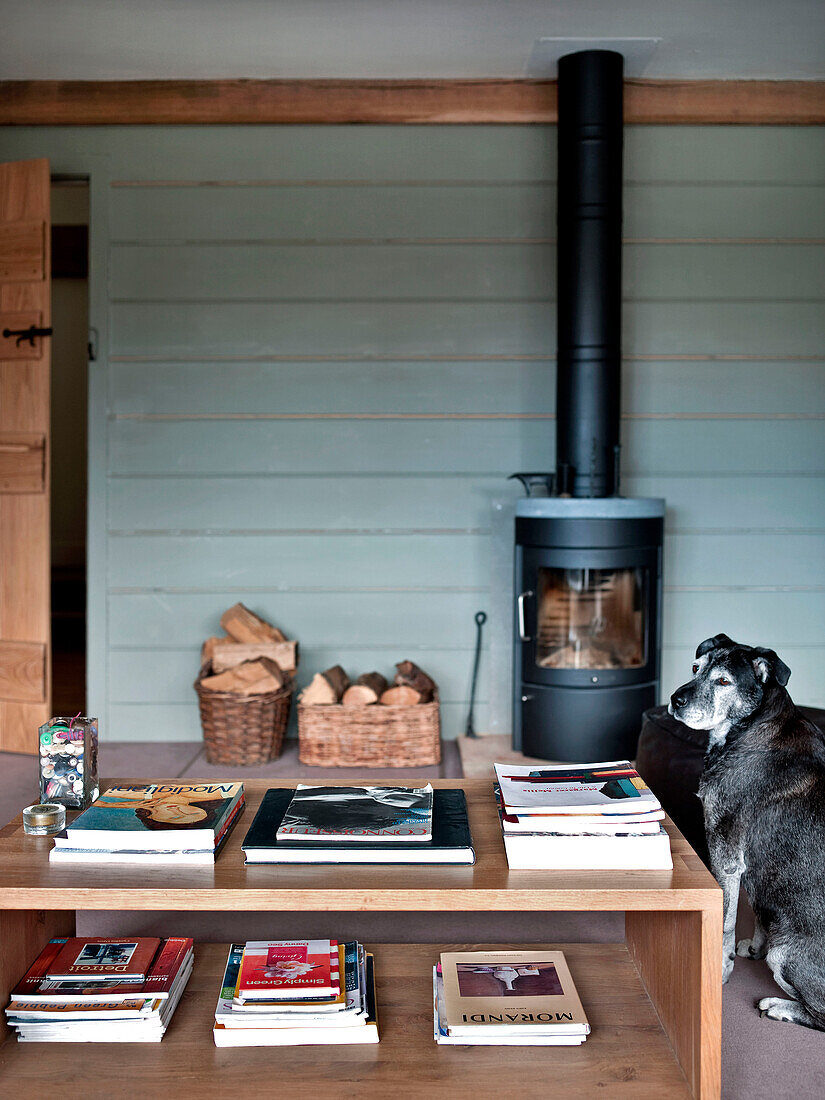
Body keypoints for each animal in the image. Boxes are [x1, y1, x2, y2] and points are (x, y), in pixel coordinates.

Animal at [673, 633, 825, 1025]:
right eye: (695, 668)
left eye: (724, 681)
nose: (675, 700)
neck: (752, 726)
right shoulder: (753, 867)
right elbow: (758, 909)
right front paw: (754, 946)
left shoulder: (725, 856)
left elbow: (725, 921)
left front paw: (719, 970)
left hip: (784, 954)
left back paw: (781, 1007)